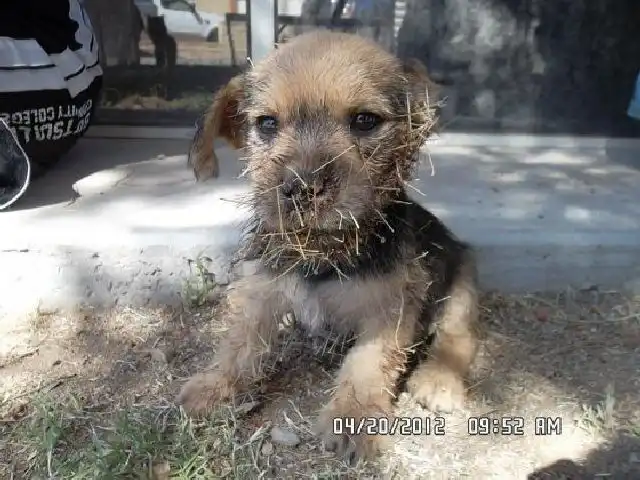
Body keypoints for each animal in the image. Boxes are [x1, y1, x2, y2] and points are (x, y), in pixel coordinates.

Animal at [179, 30, 480, 463]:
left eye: (365, 121)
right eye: (267, 123)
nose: (302, 188)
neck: (323, 255)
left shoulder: (389, 309)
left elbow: (367, 364)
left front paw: (353, 420)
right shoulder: (261, 291)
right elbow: (239, 343)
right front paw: (215, 386)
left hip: (463, 280)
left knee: (459, 336)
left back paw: (438, 380)